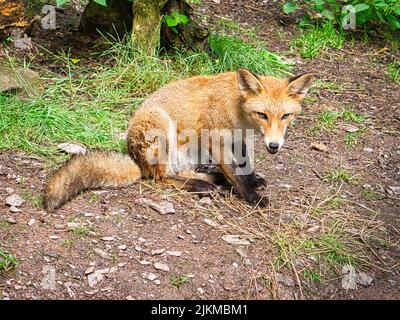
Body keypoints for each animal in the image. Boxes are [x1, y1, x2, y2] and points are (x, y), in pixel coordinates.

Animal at [43, 68, 312, 210]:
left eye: (286, 116)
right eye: (263, 115)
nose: (274, 146)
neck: (239, 112)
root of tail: (137, 164)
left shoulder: (239, 138)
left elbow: (244, 165)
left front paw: (253, 180)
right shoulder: (217, 139)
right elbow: (236, 173)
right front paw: (252, 197)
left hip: (192, 151)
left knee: (181, 172)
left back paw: (211, 179)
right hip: (163, 129)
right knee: (162, 177)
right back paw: (203, 185)